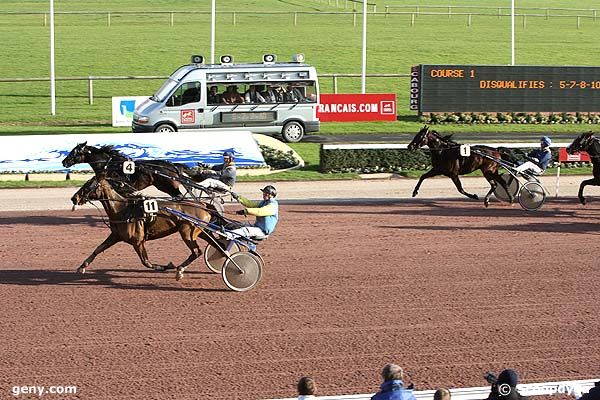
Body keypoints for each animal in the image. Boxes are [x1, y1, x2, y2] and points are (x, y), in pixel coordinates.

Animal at [61, 142, 192, 197]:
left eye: (74, 152)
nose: (64, 162)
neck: (109, 165)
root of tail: (173, 166)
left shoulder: (119, 187)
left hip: (169, 186)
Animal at [72, 174, 213, 276]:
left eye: (88, 185)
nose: (74, 198)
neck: (122, 210)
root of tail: (202, 205)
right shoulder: (116, 236)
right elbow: (98, 248)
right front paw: (82, 266)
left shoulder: (138, 241)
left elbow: (146, 262)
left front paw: (167, 266)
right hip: (201, 232)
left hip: (187, 232)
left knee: (196, 251)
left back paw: (180, 269)